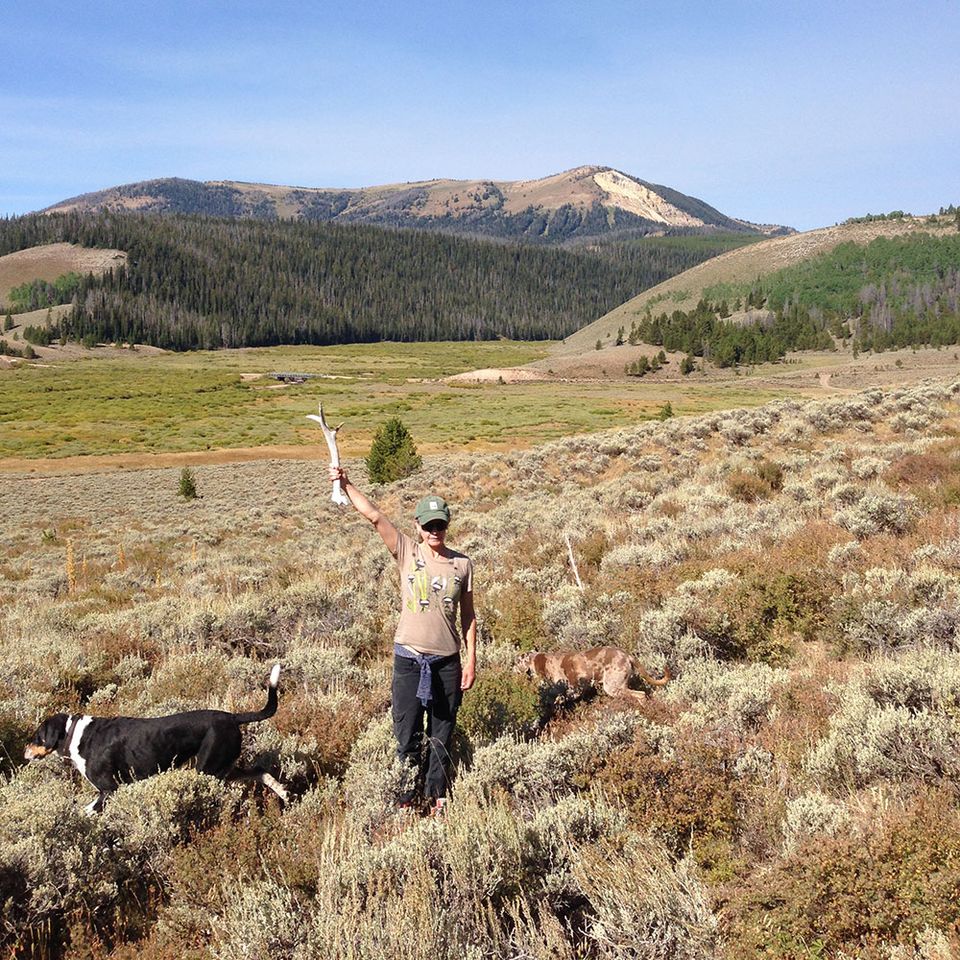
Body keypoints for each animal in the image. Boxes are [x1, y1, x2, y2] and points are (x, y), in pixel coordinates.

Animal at [24, 660, 286, 808]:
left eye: (37, 736)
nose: (24, 752)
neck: (77, 734)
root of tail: (232, 717)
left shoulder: (108, 789)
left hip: (208, 769)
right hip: (221, 766)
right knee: (260, 772)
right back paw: (284, 794)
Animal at [516, 644, 668, 704]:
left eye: (516, 662)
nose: (512, 670)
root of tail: (627, 656)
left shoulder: (573, 689)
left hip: (612, 686)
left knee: (640, 695)